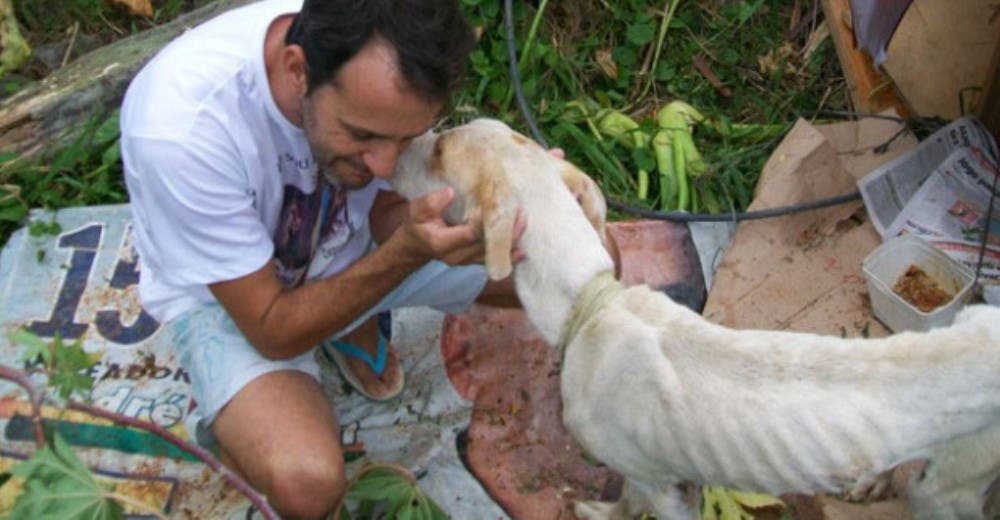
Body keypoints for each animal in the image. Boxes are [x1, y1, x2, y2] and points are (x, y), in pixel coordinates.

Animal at [388, 119, 1000, 520]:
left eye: (440, 148)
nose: (390, 150)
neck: (593, 301)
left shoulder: (653, 482)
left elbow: (629, 503)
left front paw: (597, 511)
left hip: (951, 489)